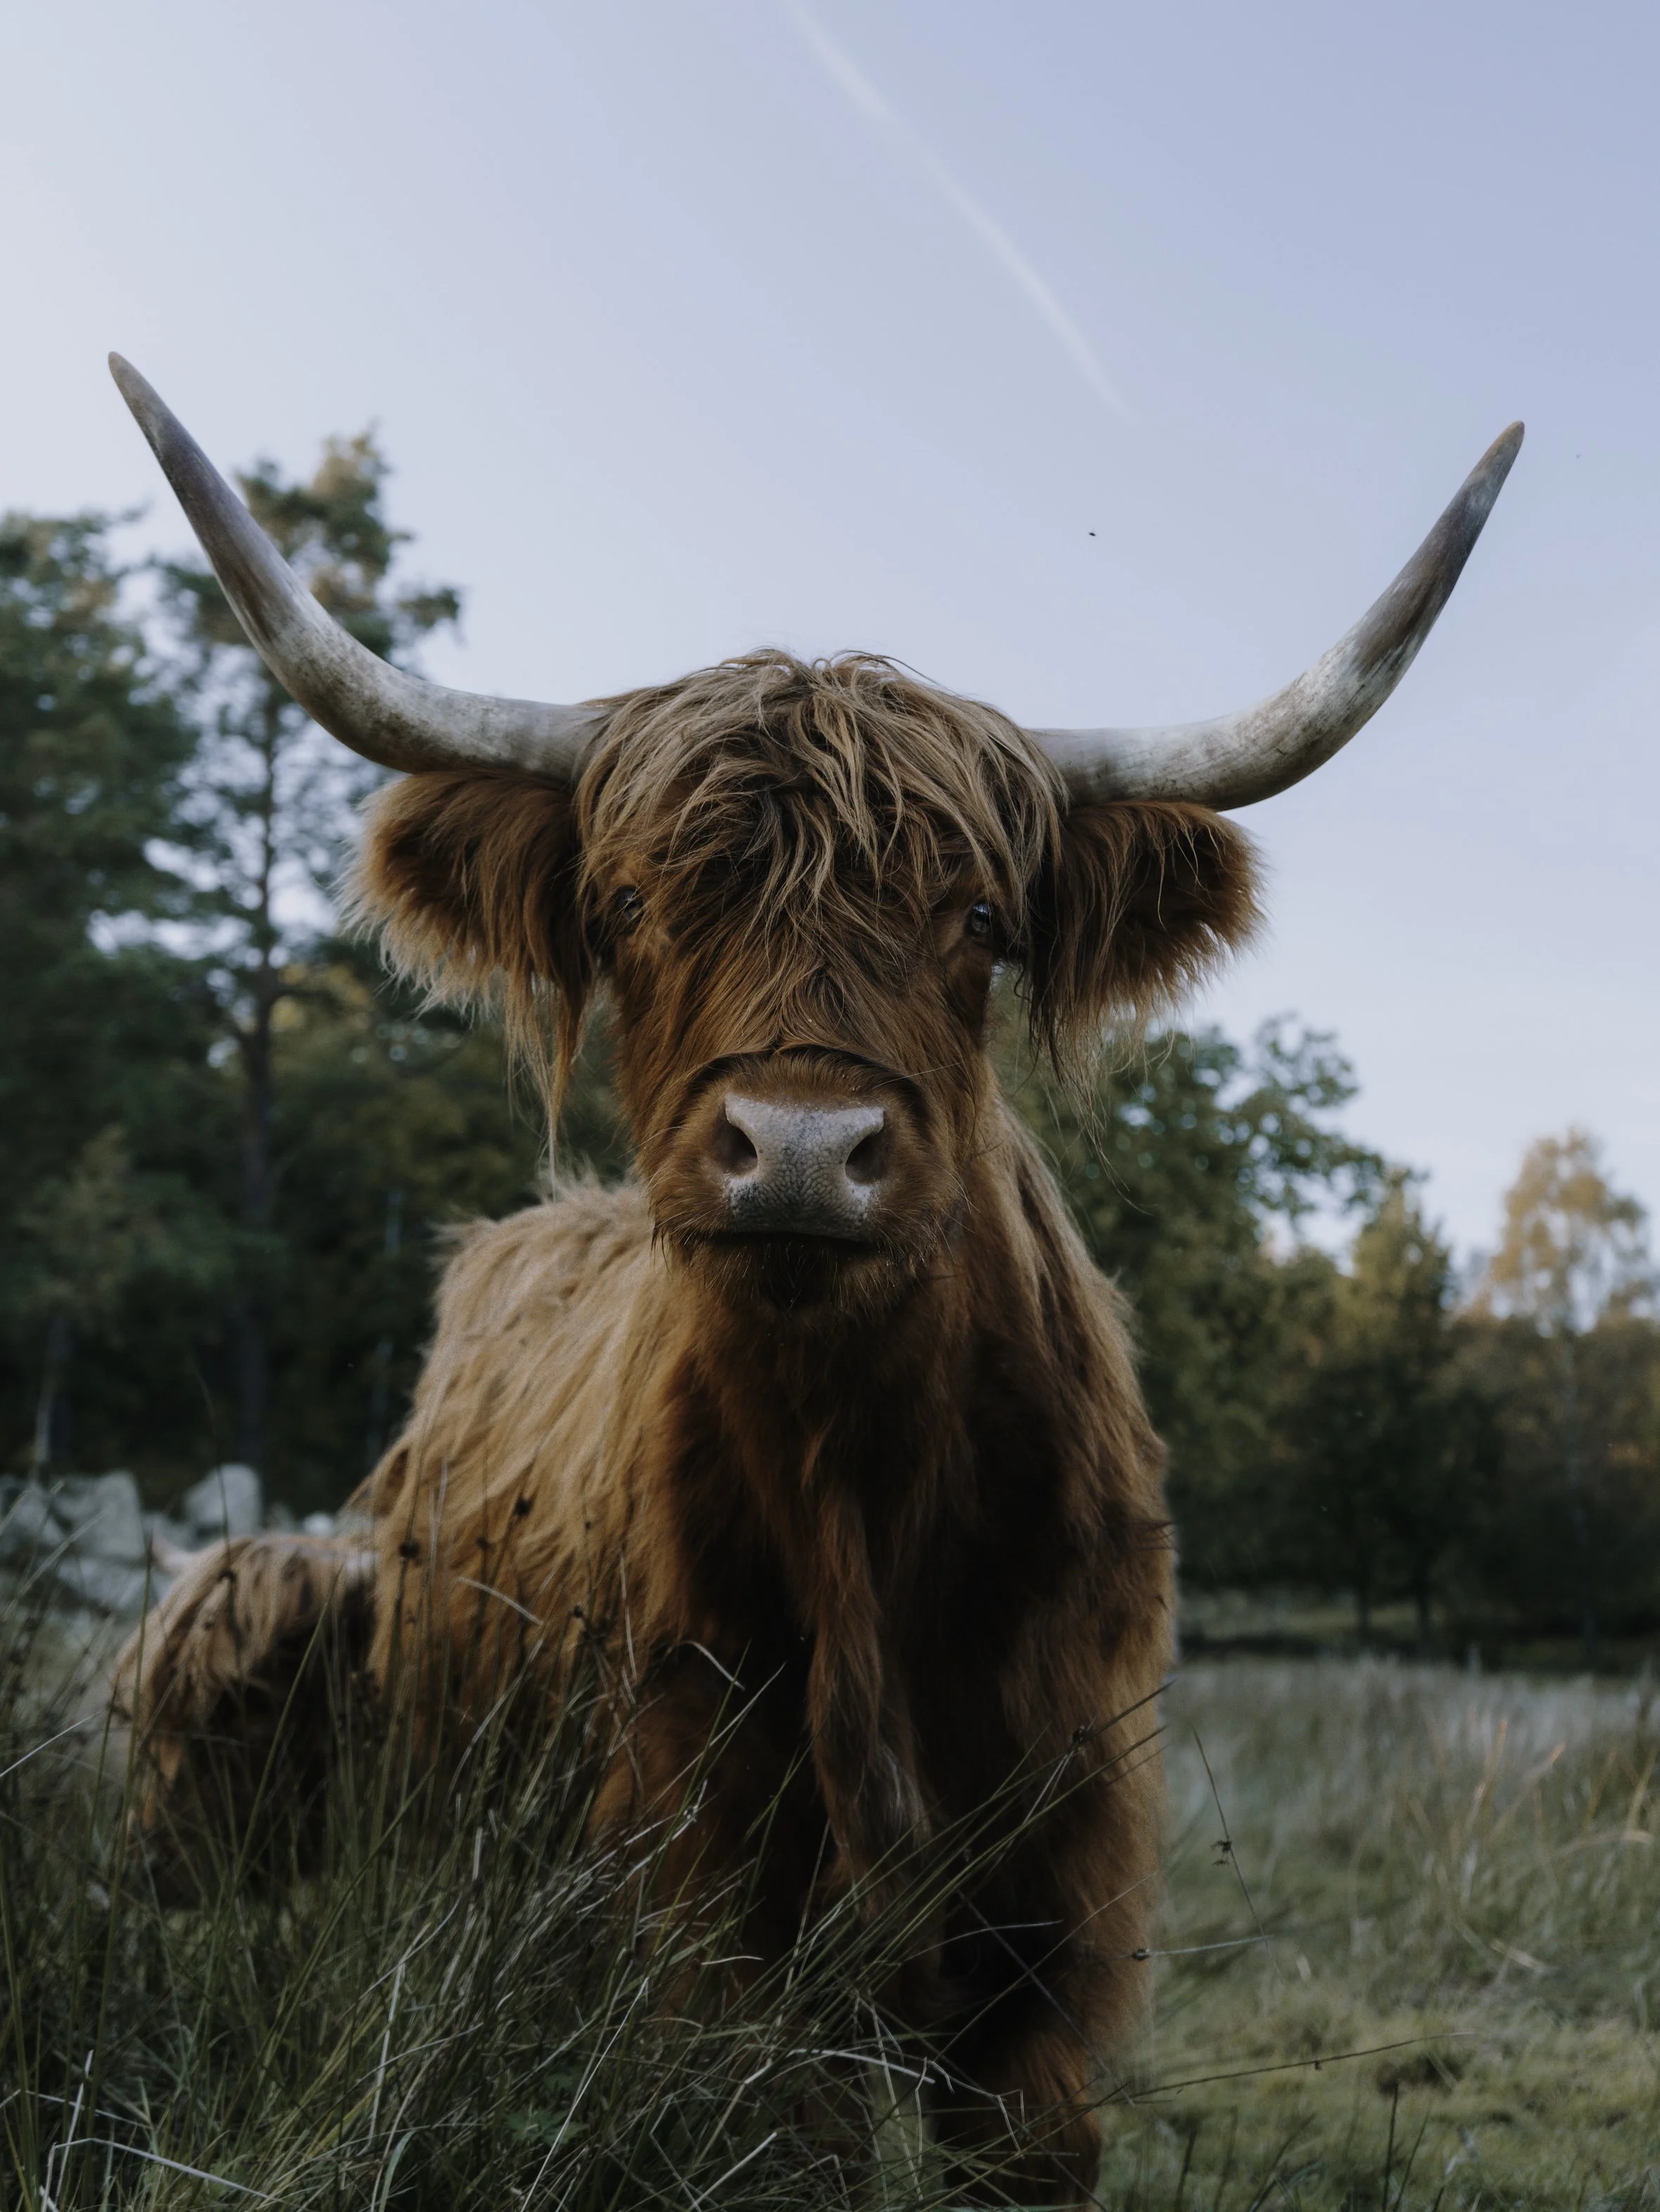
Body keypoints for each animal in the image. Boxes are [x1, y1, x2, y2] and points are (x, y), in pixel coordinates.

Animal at [108, 354, 1518, 2202]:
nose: (793, 1145)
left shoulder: (1050, 1915)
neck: (859, 1479)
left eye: (982, 917)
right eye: (630, 901)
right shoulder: (708, 1888)